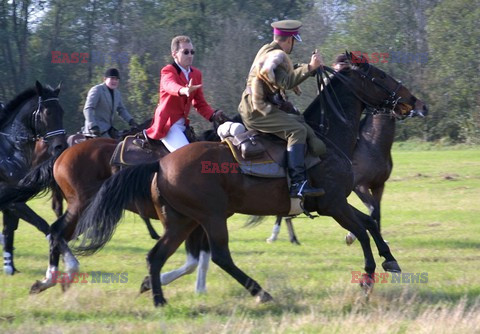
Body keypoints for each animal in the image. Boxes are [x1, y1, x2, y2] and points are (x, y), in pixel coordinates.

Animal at [0, 81, 66, 274]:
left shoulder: (12, 202)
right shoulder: (12, 201)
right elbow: (42, 224)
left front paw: (10, 267)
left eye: (62, 112)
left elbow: (9, 229)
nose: (61, 146)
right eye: (47, 112)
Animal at [75, 53, 428, 306]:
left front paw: (390, 260)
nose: (414, 101)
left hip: (181, 222)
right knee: (219, 256)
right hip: (211, 217)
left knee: (157, 256)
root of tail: (161, 164)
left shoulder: (338, 203)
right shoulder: (334, 205)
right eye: (379, 76)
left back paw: (159, 297)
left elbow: (368, 224)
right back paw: (260, 292)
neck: (329, 137)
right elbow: (363, 231)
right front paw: (367, 278)